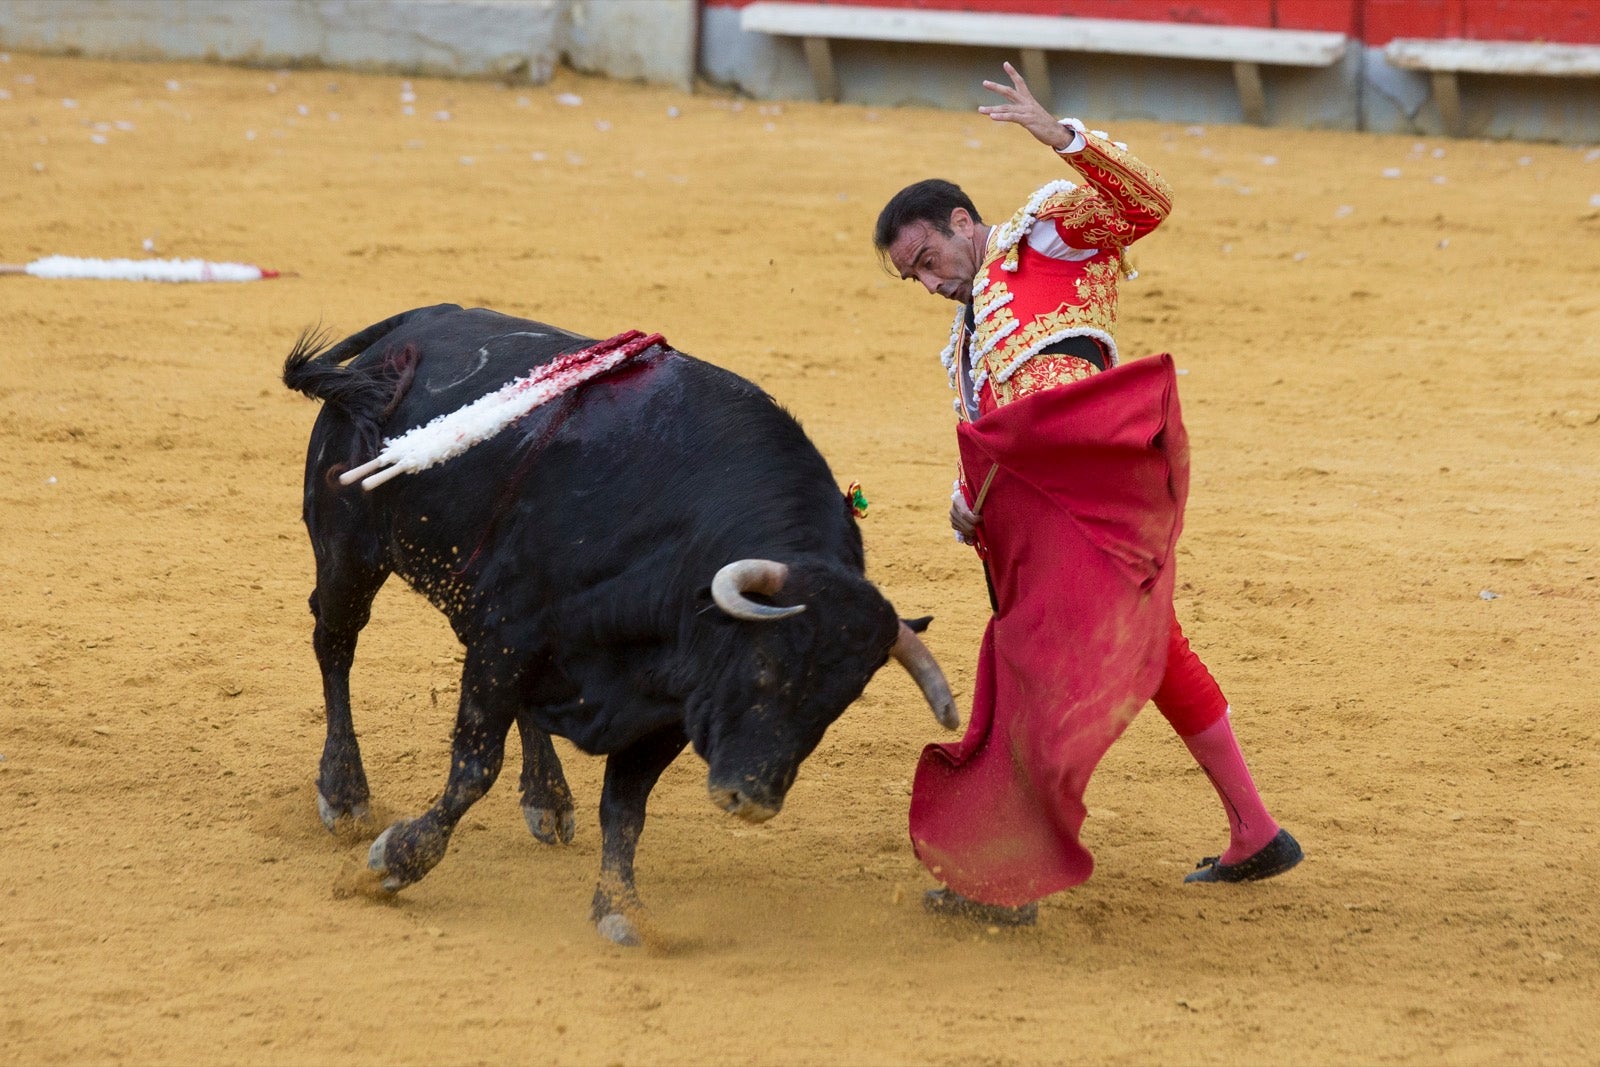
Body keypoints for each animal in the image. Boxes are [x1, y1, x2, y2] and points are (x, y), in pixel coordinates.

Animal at [281, 303, 953, 947]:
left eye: (842, 699)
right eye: (764, 663)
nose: (752, 800)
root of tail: (413, 323)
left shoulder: (668, 702)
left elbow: (625, 808)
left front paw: (620, 909)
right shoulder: (507, 638)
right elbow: (473, 769)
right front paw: (393, 862)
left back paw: (547, 799)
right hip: (349, 554)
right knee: (335, 644)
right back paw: (344, 794)